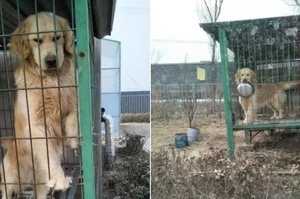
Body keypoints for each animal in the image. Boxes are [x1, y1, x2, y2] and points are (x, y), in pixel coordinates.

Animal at [0, 11, 78, 198]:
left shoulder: (73, 98)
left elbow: (74, 115)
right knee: (5, 191)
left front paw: (72, 137)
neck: (51, 79)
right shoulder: (36, 125)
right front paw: (59, 178)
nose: (51, 60)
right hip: (10, 177)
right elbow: (49, 154)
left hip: (40, 184)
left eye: (57, 37)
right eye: (36, 40)